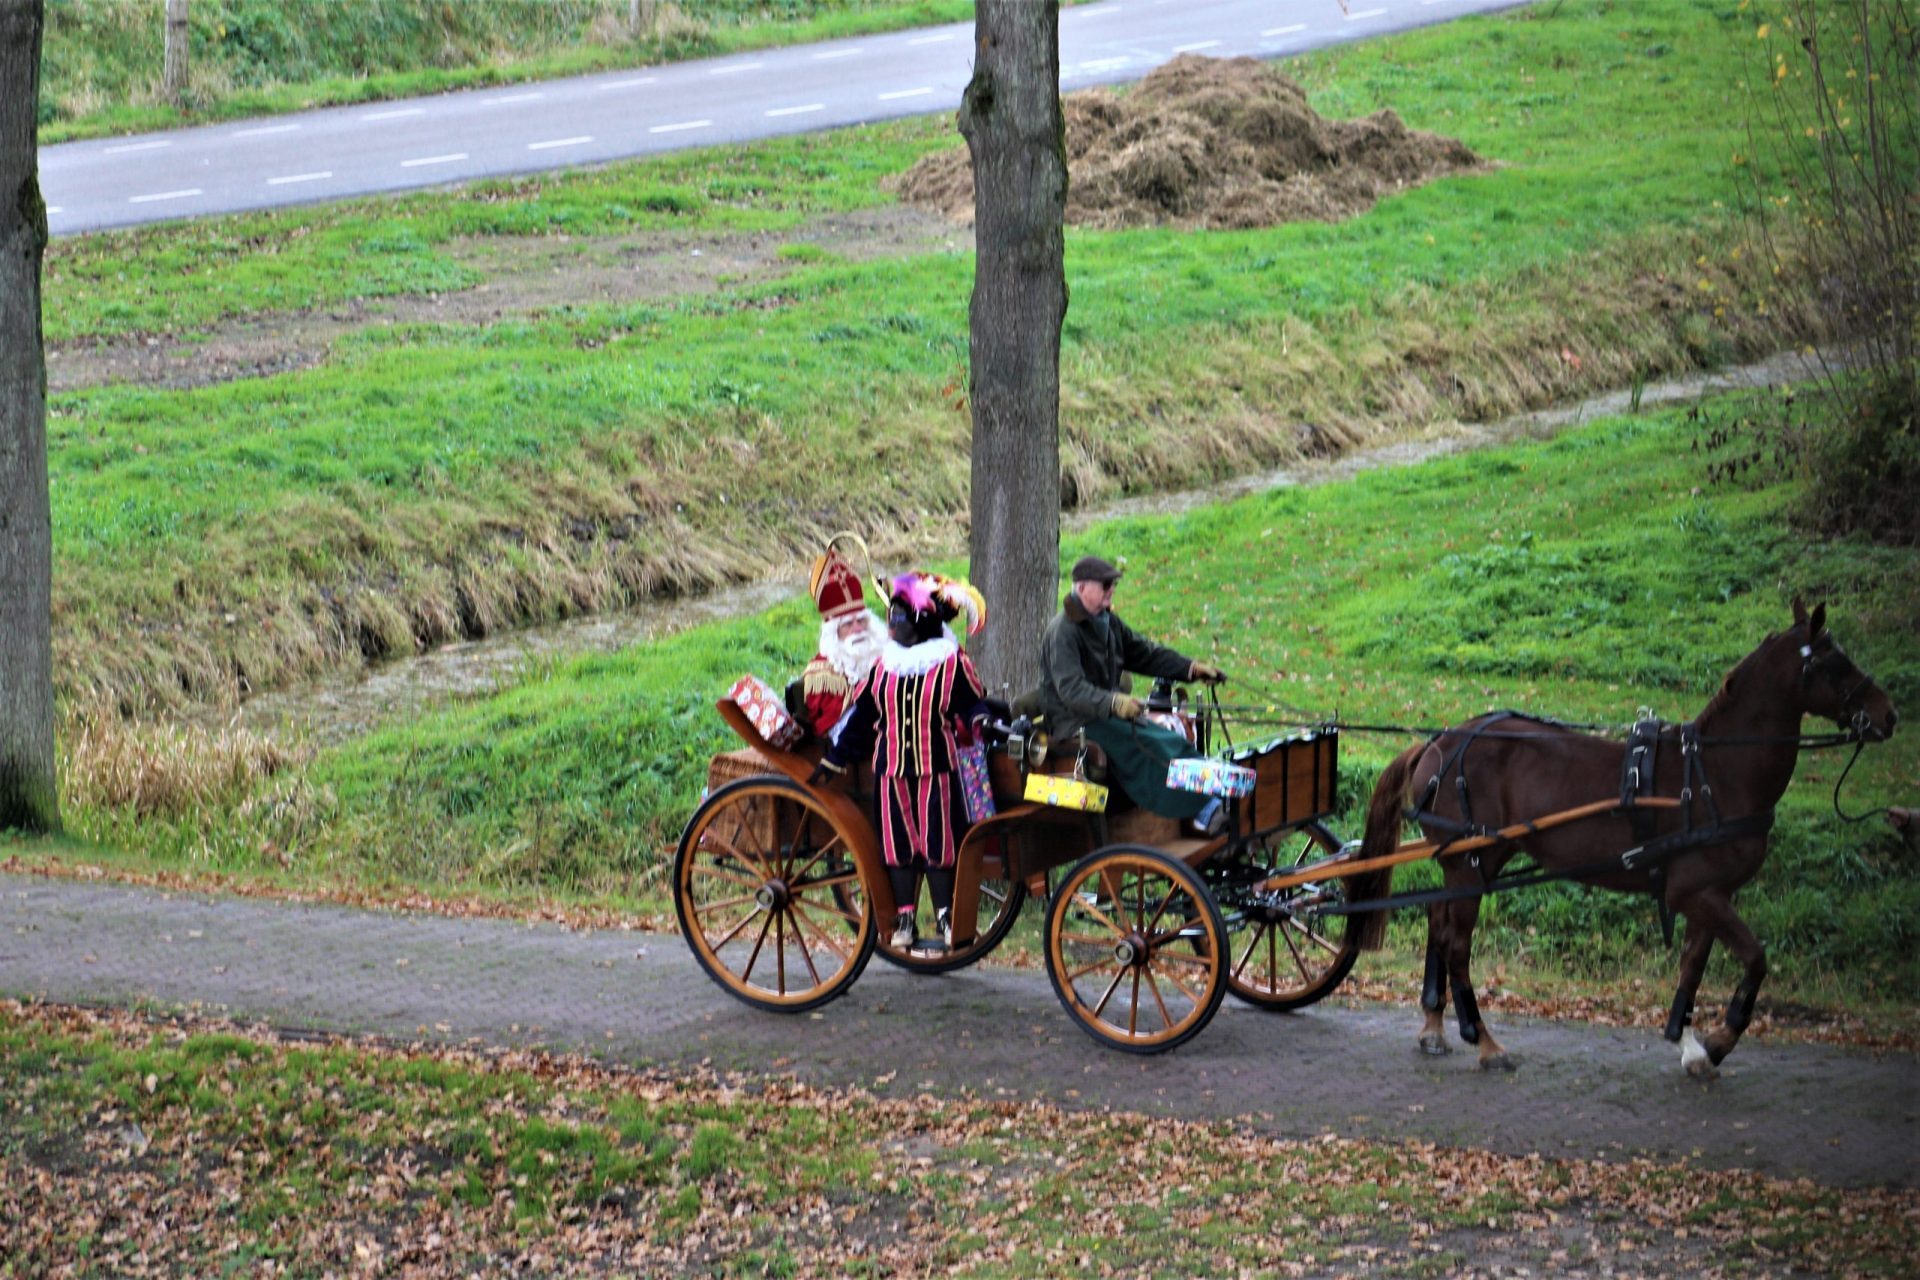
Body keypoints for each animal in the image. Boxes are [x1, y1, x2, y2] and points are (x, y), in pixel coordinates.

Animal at [1344, 602, 1896, 1074]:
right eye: (1835, 663)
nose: (1888, 714)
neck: (1715, 774)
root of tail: (1439, 743)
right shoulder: (1695, 891)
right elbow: (1755, 958)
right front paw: (1720, 1041)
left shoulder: (1708, 894)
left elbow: (1693, 964)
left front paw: (1688, 1042)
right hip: (1469, 862)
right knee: (1456, 945)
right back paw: (1485, 1041)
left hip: (1475, 860)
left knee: (1438, 926)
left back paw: (1434, 1025)